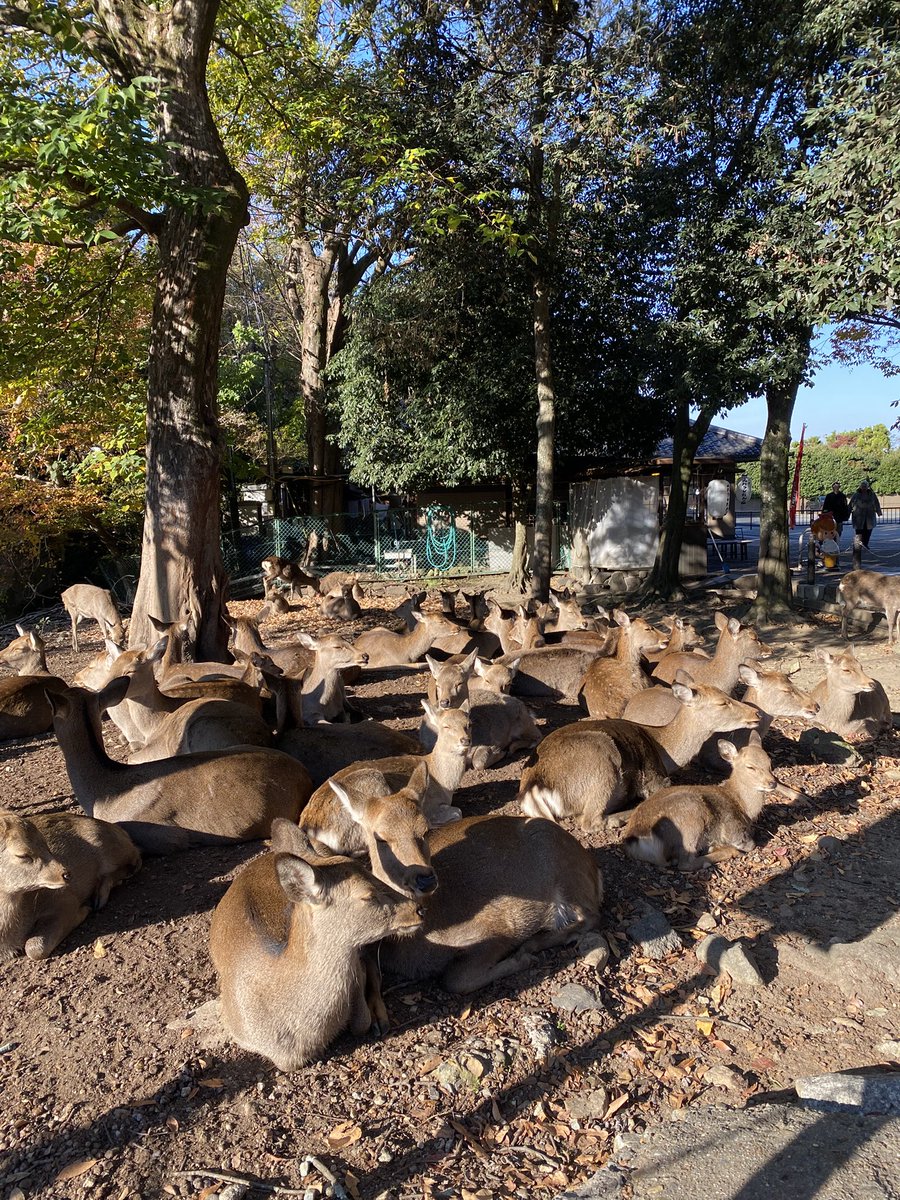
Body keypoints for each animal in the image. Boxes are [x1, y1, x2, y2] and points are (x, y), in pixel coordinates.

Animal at [0, 810, 140, 960]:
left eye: (46, 844)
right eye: (22, 855)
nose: (66, 874)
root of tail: (121, 831)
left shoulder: (64, 899)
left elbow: (33, 949)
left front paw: (85, 909)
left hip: (112, 849)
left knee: (136, 859)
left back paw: (99, 896)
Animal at [517, 675, 760, 831]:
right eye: (722, 703)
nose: (755, 713)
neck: (665, 750)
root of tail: (533, 788)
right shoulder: (655, 778)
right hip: (602, 756)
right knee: (589, 822)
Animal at [621, 733, 777, 870]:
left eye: (769, 762)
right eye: (750, 766)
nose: (772, 783)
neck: (744, 807)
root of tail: (636, 841)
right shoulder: (734, 830)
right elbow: (750, 844)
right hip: (690, 820)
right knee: (685, 863)